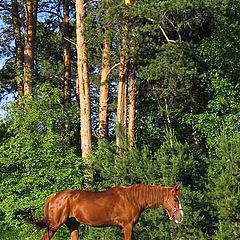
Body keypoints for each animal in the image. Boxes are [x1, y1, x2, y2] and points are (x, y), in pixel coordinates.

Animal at [36, 184, 184, 238]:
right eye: (175, 199)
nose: (181, 217)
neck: (133, 198)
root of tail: (53, 196)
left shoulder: (130, 227)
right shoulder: (127, 226)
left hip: (73, 224)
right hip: (54, 225)